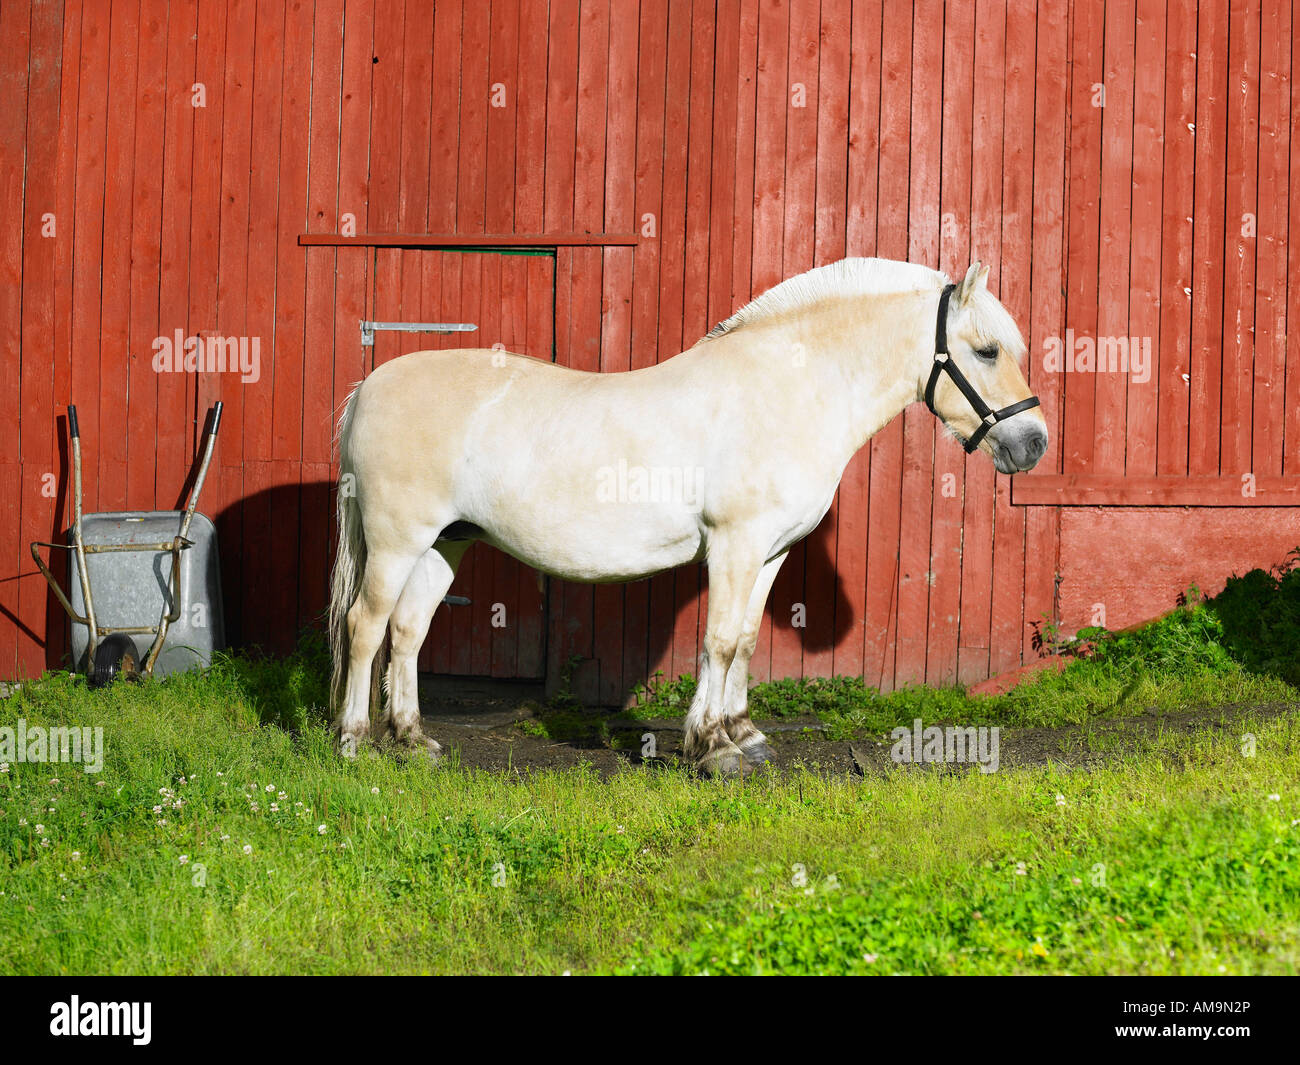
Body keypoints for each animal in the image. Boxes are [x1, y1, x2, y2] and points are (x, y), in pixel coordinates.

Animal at [330, 258, 1050, 775]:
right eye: (987, 349)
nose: (1033, 443)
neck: (788, 387)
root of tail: (370, 385)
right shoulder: (735, 544)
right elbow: (720, 640)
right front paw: (713, 749)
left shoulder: (770, 551)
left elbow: (747, 640)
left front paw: (743, 734)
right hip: (397, 540)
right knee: (366, 625)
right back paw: (355, 740)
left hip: (444, 543)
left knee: (409, 630)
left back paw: (412, 740)